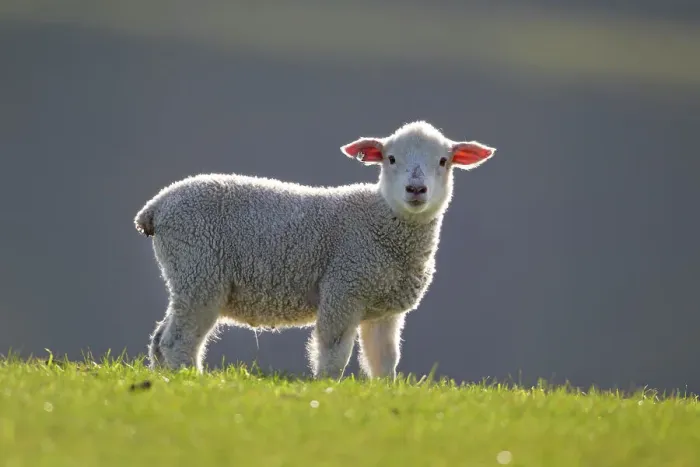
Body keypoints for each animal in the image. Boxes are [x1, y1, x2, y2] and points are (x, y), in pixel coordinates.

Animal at [134, 121, 496, 380]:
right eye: (391, 158)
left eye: (444, 161)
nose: (416, 189)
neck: (382, 220)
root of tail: (155, 208)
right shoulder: (343, 287)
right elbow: (334, 355)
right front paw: (326, 389)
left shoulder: (385, 310)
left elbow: (385, 363)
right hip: (199, 270)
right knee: (177, 341)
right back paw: (190, 381)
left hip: (188, 278)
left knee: (160, 339)